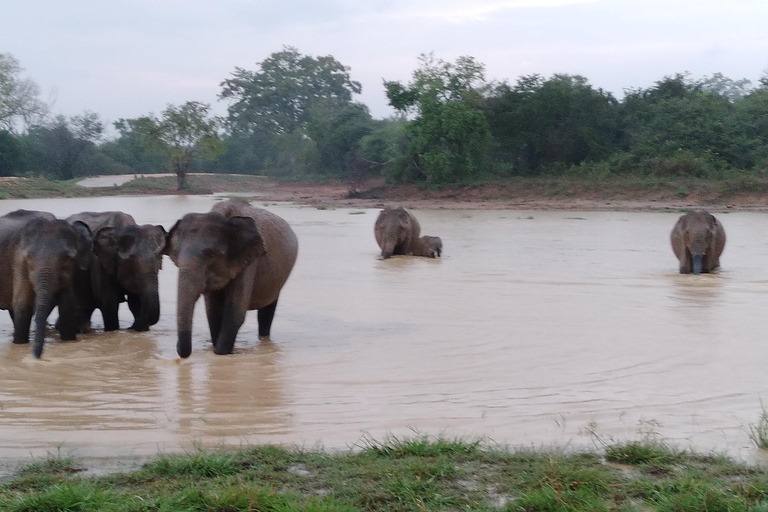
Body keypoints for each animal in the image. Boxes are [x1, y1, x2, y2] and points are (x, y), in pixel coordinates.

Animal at [0, 210, 92, 358]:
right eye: (28, 260)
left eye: (66, 259)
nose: (36, 357)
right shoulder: (18, 262)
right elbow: (23, 305)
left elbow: (68, 305)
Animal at [166, 198, 298, 358]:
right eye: (176, 255)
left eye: (212, 254)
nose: (180, 352)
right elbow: (213, 313)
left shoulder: (248, 262)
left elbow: (234, 313)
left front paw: (221, 354)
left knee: (267, 311)